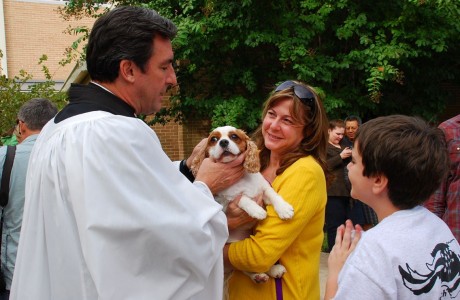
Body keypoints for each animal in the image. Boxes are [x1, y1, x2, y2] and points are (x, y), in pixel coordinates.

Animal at [190, 125, 294, 284]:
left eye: (234, 136)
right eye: (214, 139)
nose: (223, 142)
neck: (240, 180)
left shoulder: (263, 189)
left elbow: (273, 195)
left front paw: (284, 209)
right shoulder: (225, 201)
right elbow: (242, 198)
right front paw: (258, 211)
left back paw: (272, 270)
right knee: (244, 267)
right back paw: (259, 275)